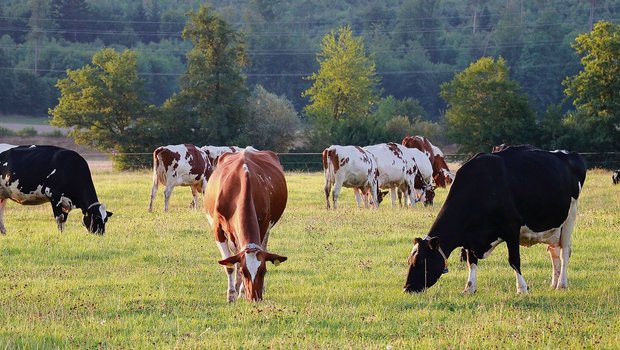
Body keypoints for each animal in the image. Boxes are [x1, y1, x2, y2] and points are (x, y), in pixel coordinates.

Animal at [205, 147, 290, 300]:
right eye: (244, 272)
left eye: (264, 271)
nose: (255, 298)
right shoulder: (217, 230)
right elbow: (230, 265)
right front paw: (231, 294)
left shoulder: (263, 226)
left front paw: (242, 291)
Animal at [402, 146, 588, 296]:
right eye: (409, 261)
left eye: (420, 261)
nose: (407, 288)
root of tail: (569, 154)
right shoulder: (470, 237)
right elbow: (471, 262)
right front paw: (469, 288)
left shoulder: (511, 229)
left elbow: (514, 260)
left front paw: (522, 289)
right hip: (553, 228)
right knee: (554, 252)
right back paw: (554, 284)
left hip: (570, 217)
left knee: (564, 252)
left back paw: (562, 284)